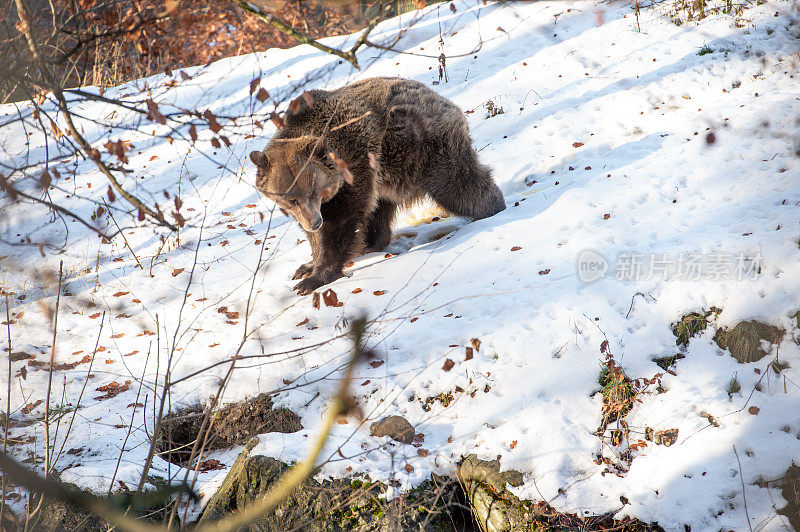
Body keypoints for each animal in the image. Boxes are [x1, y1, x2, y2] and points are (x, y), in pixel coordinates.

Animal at [250, 76, 504, 296]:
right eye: (290, 199)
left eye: (313, 191)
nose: (314, 222)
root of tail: (436, 94)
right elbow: (320, 234)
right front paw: (307, 265)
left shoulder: (353, 169)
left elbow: (339, 224)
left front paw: (314, 278)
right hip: (390, 171)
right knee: (380, 209)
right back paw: (369, 244)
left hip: (419, 142)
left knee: (456, 183)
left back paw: (494, 207)